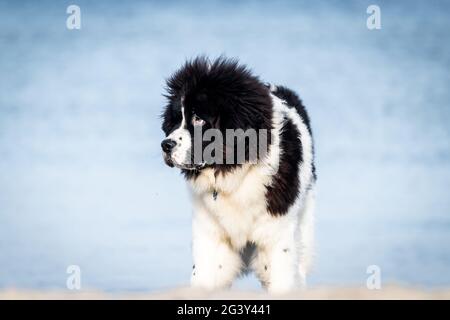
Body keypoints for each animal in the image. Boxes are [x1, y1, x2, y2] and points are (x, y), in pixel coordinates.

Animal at [162, 57, 316, 292]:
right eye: (176, 119)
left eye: (198, 119)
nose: (166, 144)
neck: (235, 172)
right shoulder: (209, 234)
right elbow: (203, 275)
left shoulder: (277, 233)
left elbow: (282, 276)